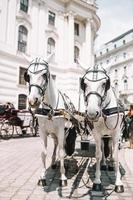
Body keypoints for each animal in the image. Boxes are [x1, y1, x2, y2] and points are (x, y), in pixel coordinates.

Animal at [24, 57, 77, 187]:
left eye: (44, 74)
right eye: (28, 76)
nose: (32, 100)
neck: (50, 109)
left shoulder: (61, 131)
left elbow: (62, 152)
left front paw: (63, 177)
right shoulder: (43, 131)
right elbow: (44, 153)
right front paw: (42, 176)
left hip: (64, 132)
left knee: (61, 147)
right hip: (54, 134)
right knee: (56, 144)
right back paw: (53, 162)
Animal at [80, 66, 124, 194]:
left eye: (104, 83)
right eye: (84, 84)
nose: (92, 112)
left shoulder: (116, 134)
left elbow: (115, 155)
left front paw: (118, 182)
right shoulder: (97, 134)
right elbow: (98, 154)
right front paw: (97, 182)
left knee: (110, 148)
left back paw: (111, 165)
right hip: (104, 135)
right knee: (104, 148)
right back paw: (105, 164)